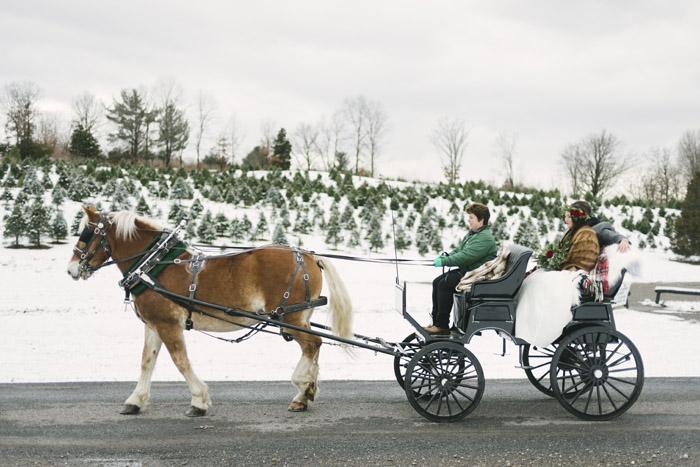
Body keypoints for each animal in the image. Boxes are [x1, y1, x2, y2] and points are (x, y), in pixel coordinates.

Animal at [67, 207, 352, 418]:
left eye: (85, 233)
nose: (71, 269)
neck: (154, 263)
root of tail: (308, 254)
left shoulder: (168, 323)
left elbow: (180, 361)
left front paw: (198, 401)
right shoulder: (153, 324)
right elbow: (147, 361)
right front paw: (135, 401)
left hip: (290, 317)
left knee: (313, 344)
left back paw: (302, 389)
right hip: (299, 316)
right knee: (314, 346)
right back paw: (306, 392)